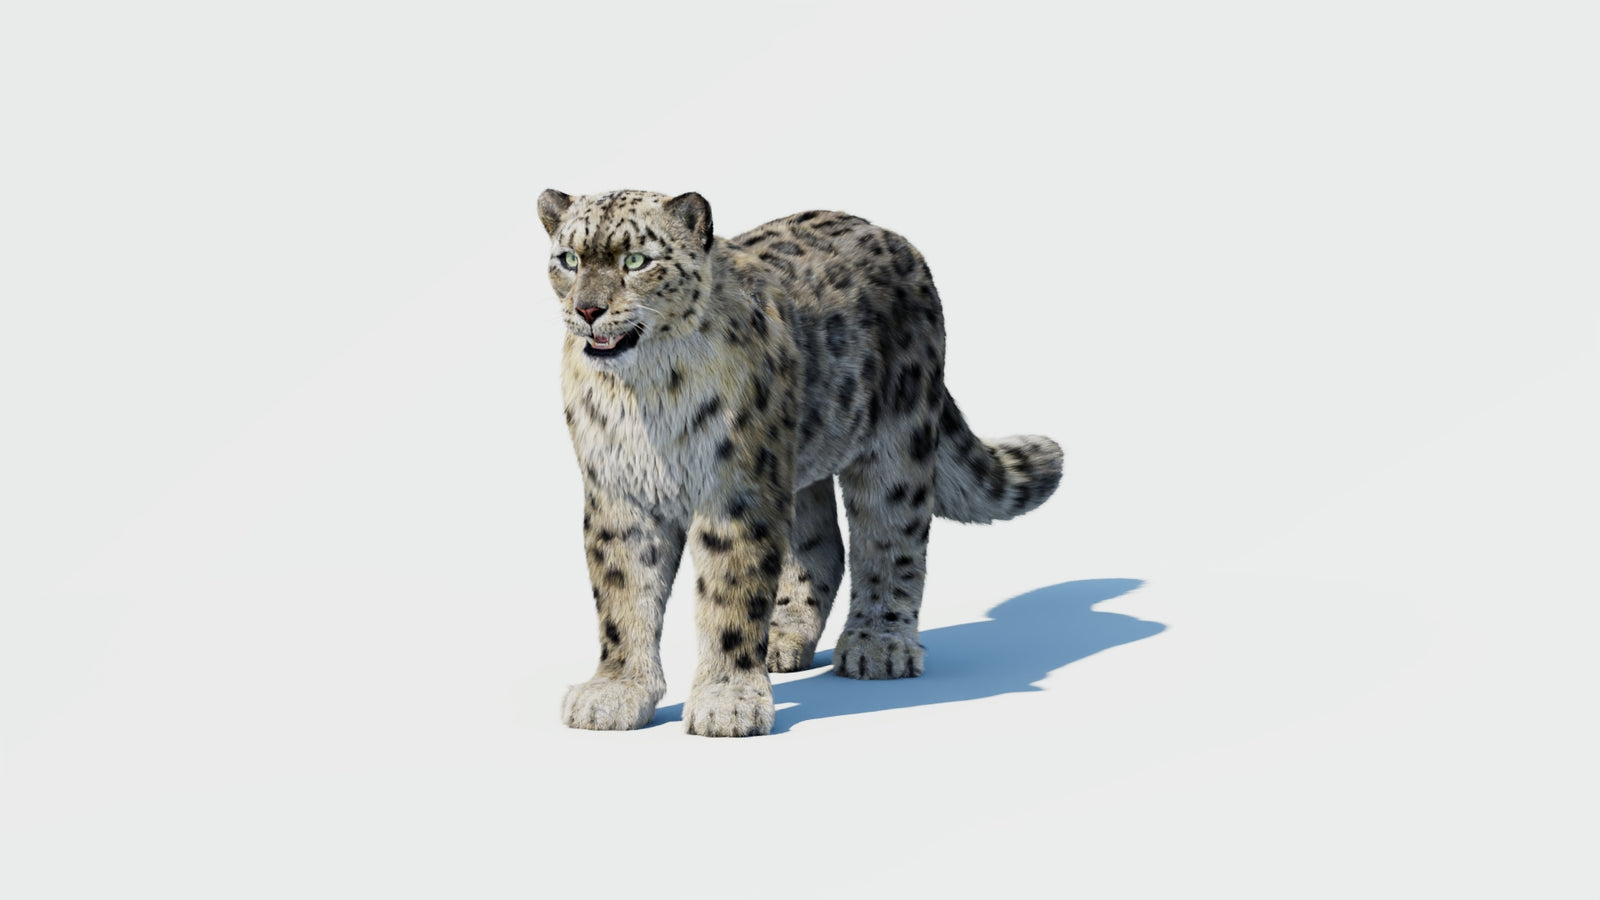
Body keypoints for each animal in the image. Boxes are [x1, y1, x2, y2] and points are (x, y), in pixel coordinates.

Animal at [538, 189, 1063, 737]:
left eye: (636, 260)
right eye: (569, 259)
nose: (588, 309)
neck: (645, 395)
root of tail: (890, 236)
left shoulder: (735, 488)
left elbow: (731, 589)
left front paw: (726, 702)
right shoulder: (620, 492)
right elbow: (623, 592)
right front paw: (615, 692)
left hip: (897, 444)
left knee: (890, 537)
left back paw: (879, 646)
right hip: (794, 462)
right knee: (819, 546)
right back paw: (783, 639)